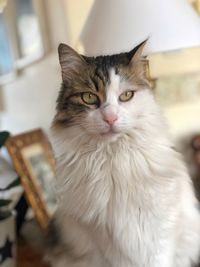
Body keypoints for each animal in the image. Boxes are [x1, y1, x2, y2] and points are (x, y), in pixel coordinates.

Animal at [47, 41, 200, 267]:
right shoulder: (105, 239)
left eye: (126, 96)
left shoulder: (159, 228)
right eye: (89, 97)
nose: (110, 118)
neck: (113, 157)